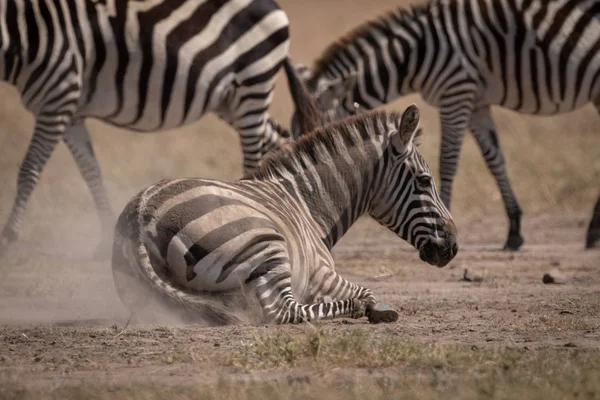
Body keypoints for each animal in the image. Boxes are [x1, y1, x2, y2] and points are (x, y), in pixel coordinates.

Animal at [0, 0, 292, 256]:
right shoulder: (71, 113)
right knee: (280, 140)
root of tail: (274, 6)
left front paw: (8, 236)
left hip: (253, 86)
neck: (23, 33)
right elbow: (91, 171)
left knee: (255, 160)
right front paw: (106, 238)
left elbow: (29, 169)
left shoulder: (58, 95)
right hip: (229, 101)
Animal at [111, 105, 460, 324]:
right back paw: (356, 307)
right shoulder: (320, 273)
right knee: (283, 312)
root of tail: (141, 214)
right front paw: (375, 307)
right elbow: (367, 290)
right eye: (424, 181)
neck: (308, 205)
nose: (453, 247)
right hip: (266, 243)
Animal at [284, 0, 600, 250]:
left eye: (316, 133)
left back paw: (593, 230)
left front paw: (444, 216)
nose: (310, 209)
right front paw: (514, 230)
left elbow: (447, 161)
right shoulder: (476, 103)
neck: (415, 52)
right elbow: (494, 159)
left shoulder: (456, 91)